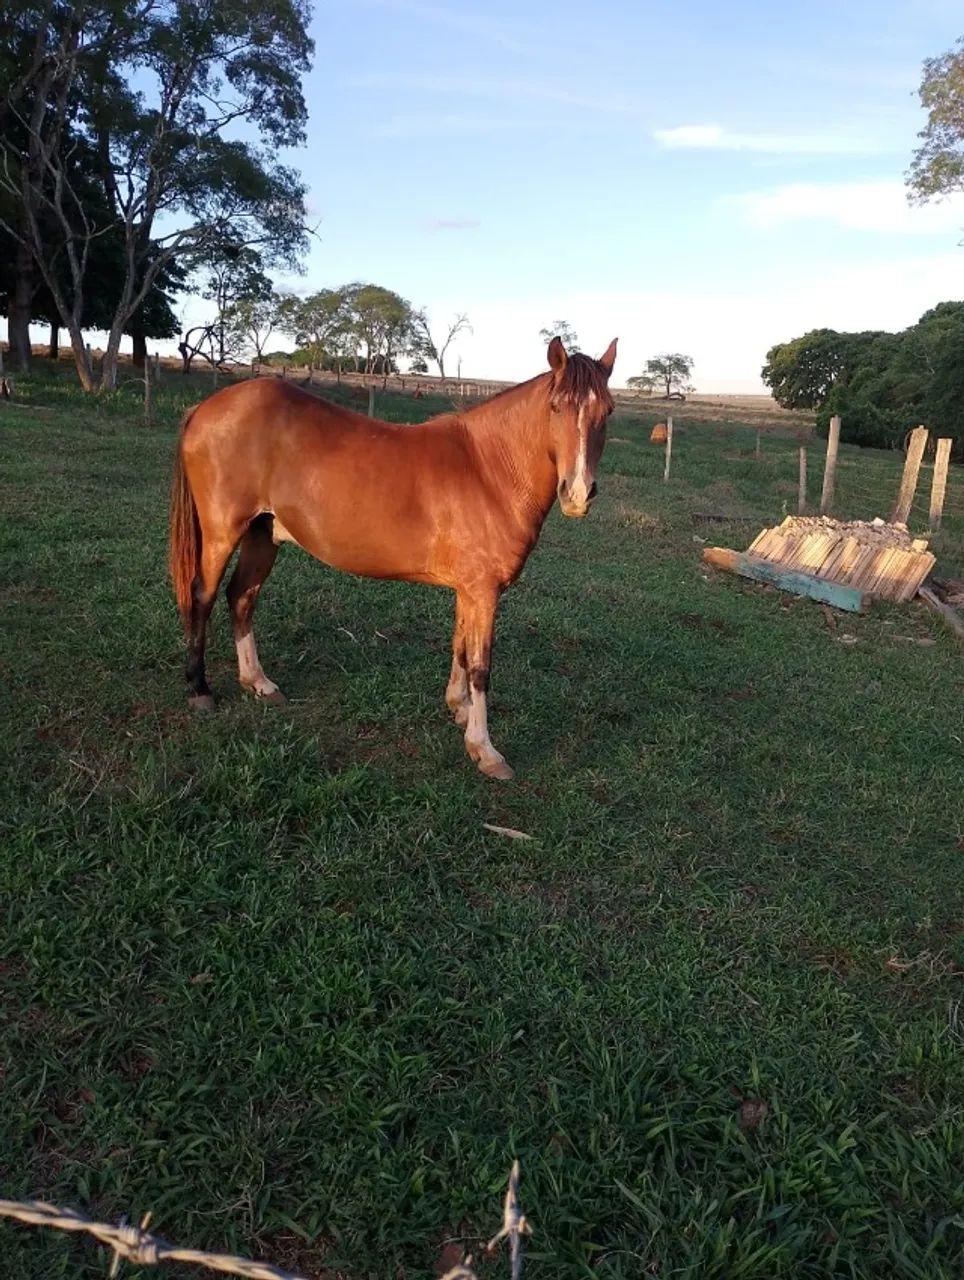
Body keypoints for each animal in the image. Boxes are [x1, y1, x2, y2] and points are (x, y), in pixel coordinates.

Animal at [168, 336, 617, 779]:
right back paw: (199, 689)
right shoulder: (484, 591)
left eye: (607, 411)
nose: (578, 494)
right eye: (556, 406)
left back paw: (259, 683)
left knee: (242, 598)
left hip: (263, 535)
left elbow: (459, 647)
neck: (488, 469)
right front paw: (484, 750)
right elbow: (481, 667)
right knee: (203, 596)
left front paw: (458, 709)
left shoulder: (468, 589)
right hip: (223, 533)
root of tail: (205, 409)